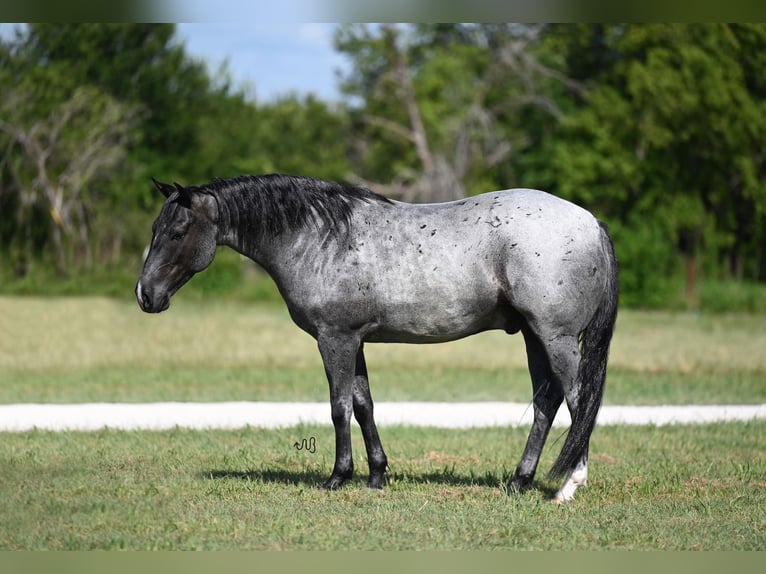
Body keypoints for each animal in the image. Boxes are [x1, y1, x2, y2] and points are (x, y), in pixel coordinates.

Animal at [136, 174, 616, 504]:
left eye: (177, 232)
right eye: (154, 229)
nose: (145, 295)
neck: (320, 239)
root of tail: (590, 222)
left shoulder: (335, 339)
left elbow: (339, 407)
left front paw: (338, 476)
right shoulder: (356, 341)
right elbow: (364, 404)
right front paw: (377, 475)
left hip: (556, 338)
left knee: (578, 402)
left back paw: (568, 487)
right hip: (535, 337)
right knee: (546, 403)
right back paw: (519, 481)